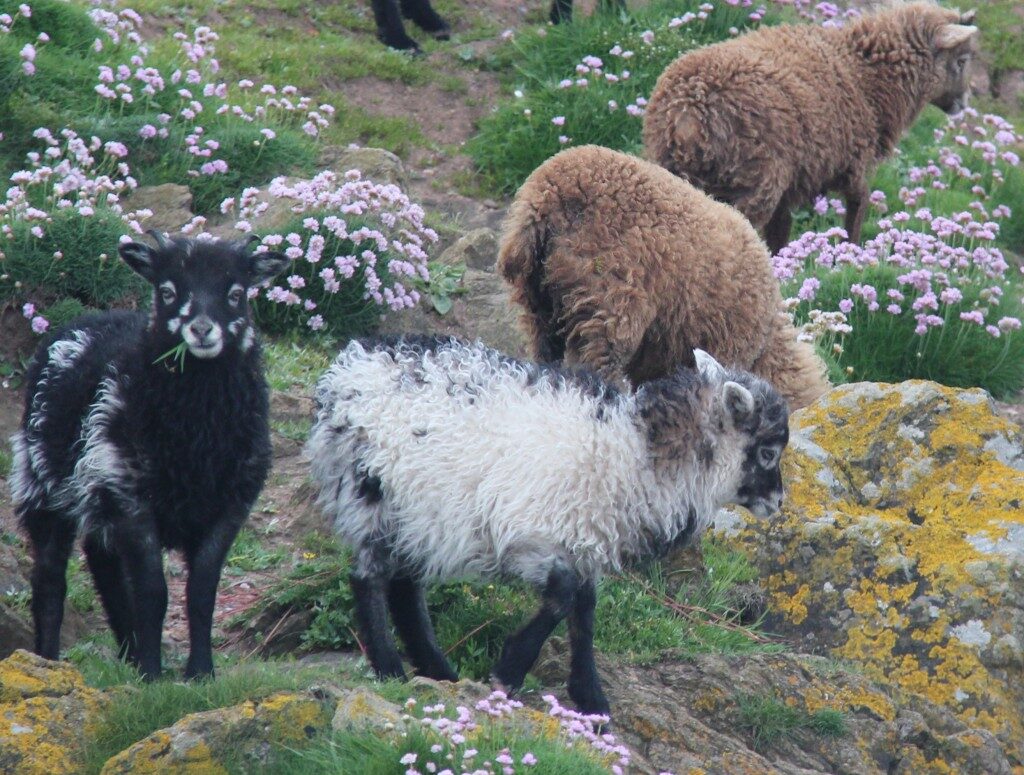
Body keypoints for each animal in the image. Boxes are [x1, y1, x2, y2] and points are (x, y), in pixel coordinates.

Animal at [9, 231, 288, 675]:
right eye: (168, 291)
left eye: (236, 294)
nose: (202, 330)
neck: (198, 437)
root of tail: (89, 320)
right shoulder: (131, 495)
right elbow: (153, 591)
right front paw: (154, 674)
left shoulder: (231, 502)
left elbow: (201, 590)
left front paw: (200, 671)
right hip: (43, 483)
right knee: (50, 579)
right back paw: (48, 659)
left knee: (103, 565)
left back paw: (129, 651)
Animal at [497, 145, 831, 411]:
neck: (765, 345)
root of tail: (545, 198)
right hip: (607, 299)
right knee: (595, 366)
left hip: (538, 305)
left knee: (545, 360)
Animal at [643, 4, 978, 255]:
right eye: (961, 61)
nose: (964, 103)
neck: (866, 76)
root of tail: (688, 112)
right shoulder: (853, 165)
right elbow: (857, 209)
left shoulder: (792, 184)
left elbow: (780, 233)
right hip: (754, 183)